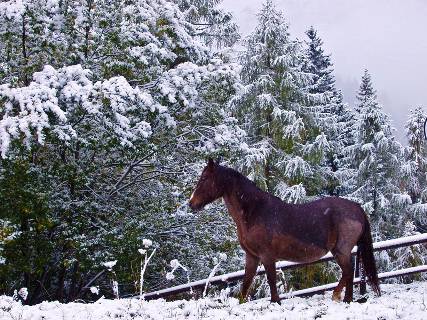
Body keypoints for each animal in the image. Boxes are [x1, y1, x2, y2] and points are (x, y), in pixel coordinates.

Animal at [189, 159, 382, 304]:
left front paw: (276, 302)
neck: (254, 211)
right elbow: (246, 283)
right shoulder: (252, 256)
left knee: (348, 272)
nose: (191, 203)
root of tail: (357, 208)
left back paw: (346, 299)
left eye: (204, 178)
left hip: (341, 250)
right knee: (347, 273)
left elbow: (271, 280)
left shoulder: (267, 256)